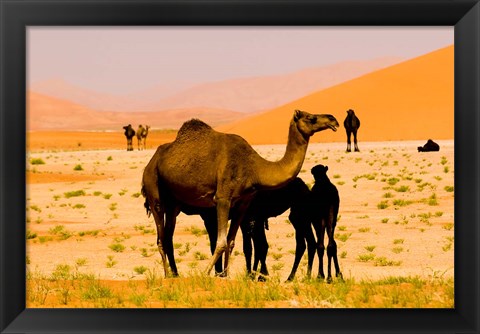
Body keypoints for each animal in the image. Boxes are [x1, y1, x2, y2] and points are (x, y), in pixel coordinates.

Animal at [141, 109, 340, 276]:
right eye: (311, 118)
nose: (333, 119)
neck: (255, 168)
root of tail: (151, 161)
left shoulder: (244, 203)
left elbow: (231, 241)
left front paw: (226, 276)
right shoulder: (223, 198)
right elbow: (221, 242)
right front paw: (206, 273)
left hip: (173, 203)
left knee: (168, 236)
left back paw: (175, 274)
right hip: (154, 191)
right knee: (160, 237)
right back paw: (167, 275)